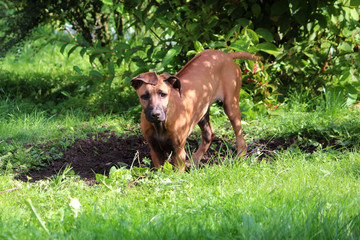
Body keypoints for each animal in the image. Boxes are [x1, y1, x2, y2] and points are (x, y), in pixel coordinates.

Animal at [131, 49, 260, 172]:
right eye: (144, 96)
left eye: (163, 94)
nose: (155, 114)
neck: (161, 125)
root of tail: (226, 55)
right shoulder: (155, 150)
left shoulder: (179, 152)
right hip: (202, 112)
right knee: (209, 135)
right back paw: (194, 161)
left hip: (231, 104)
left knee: (240, 136)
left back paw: (240, 157)